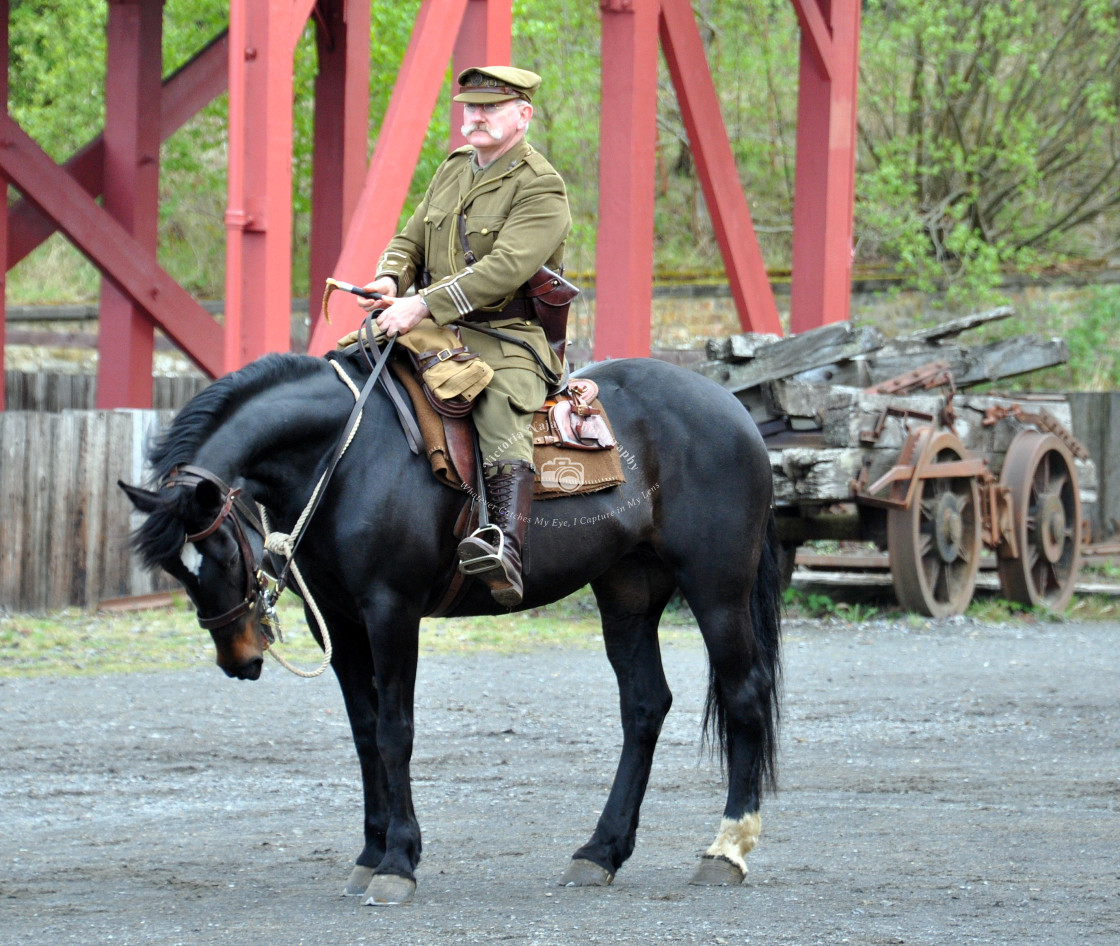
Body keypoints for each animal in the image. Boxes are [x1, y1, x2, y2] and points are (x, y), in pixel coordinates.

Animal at [120, 351, 779, 904]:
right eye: (176, 568)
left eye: (222, 554)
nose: (238, 658)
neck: (346, 454)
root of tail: (730, 407)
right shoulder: (339, 619)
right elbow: (364, 735)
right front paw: (370, 852)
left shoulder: (390, 610)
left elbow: (394, 732)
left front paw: (397, 863)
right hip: (626, 594)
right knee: (644, 707)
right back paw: (600, 852)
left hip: (717, 590)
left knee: (744, 695)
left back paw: (727, 847)